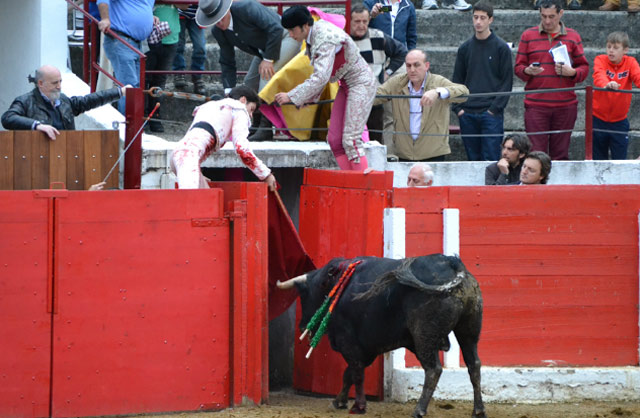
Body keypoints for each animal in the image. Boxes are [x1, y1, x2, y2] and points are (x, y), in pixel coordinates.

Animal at [276, 253, 484, 416]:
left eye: (305, 294)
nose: (302, 326)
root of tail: (452, 263)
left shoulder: (348, 341)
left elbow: (356, 373)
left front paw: (358, 406)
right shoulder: (366, 348)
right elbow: (349, 373)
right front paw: (338, 401)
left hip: (424, 336)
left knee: (433, 369)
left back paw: (419, 410)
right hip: (469, 331)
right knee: (474, 365)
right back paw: (478, 410)